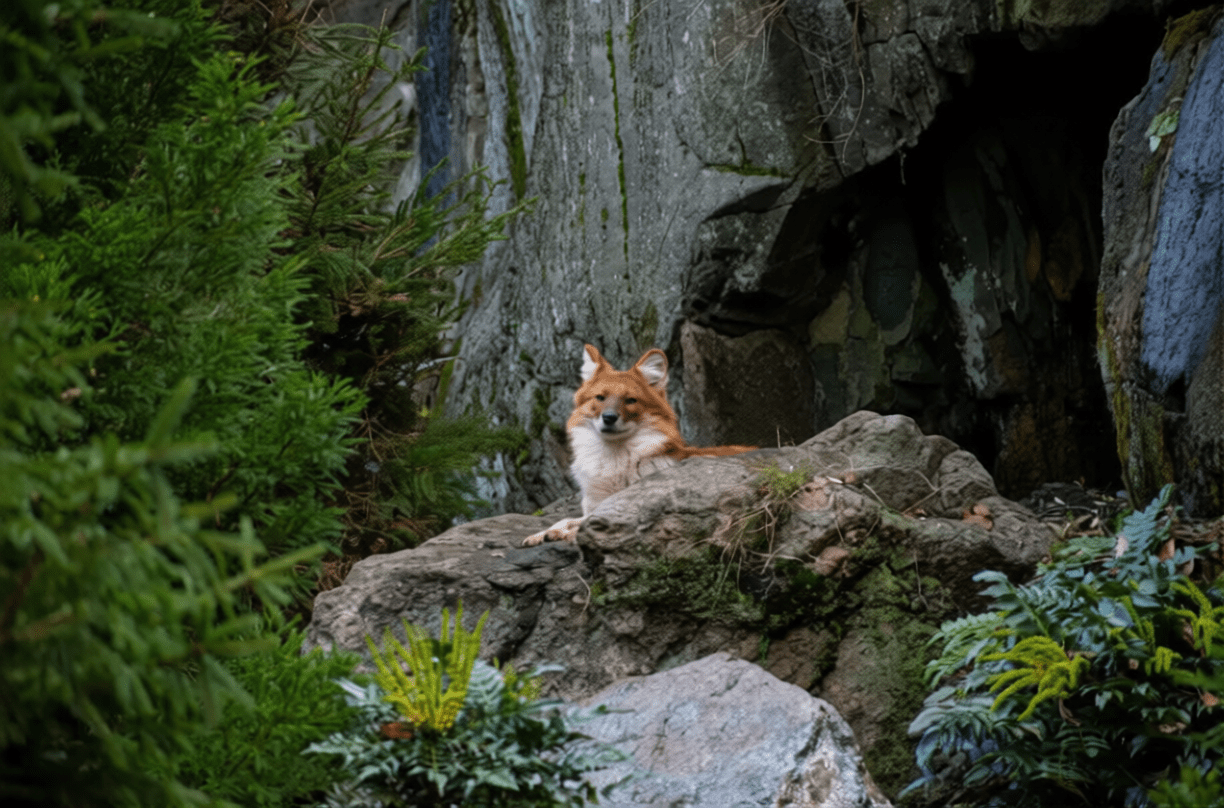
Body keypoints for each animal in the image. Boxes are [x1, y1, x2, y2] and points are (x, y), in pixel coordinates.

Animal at [522, 344, 755, 546]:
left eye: (631, 400)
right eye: (600, 397)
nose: (609, 418)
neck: (613, 462)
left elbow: (582, 527)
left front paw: (563, 534)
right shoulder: (596, 506)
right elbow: (566, 520)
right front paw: (541, 533)